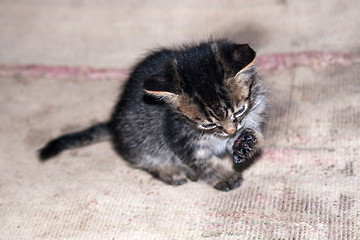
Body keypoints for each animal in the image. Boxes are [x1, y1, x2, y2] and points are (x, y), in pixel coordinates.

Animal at [38, 39, 268, 191]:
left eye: (240, 111)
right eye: (207, 125)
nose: (231, 131)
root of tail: (114, 124)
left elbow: (249, 134)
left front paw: (248, 143)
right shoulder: (178, 137)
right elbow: (203, 162)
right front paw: (222, 176)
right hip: (139, 138)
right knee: (141, 158)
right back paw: (169, 171)